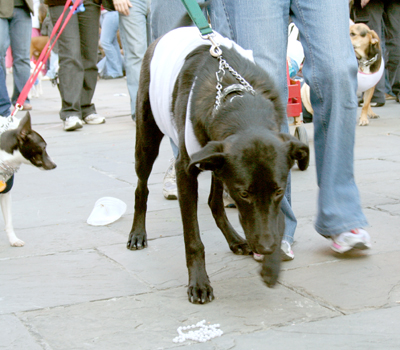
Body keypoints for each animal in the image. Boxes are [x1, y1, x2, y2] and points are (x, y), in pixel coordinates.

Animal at [128, 28, 310, 304]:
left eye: (279, 191)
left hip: (214, 160)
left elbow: (277, 219)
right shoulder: (186, 170)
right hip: (148, 139)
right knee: (141, 187)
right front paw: (199, 283)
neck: (238, 104)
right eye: (243, 194)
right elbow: (193, 239)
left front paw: (272, 264)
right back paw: (138, 234)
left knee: (214, 203)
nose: (266, 247)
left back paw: (235, 240)